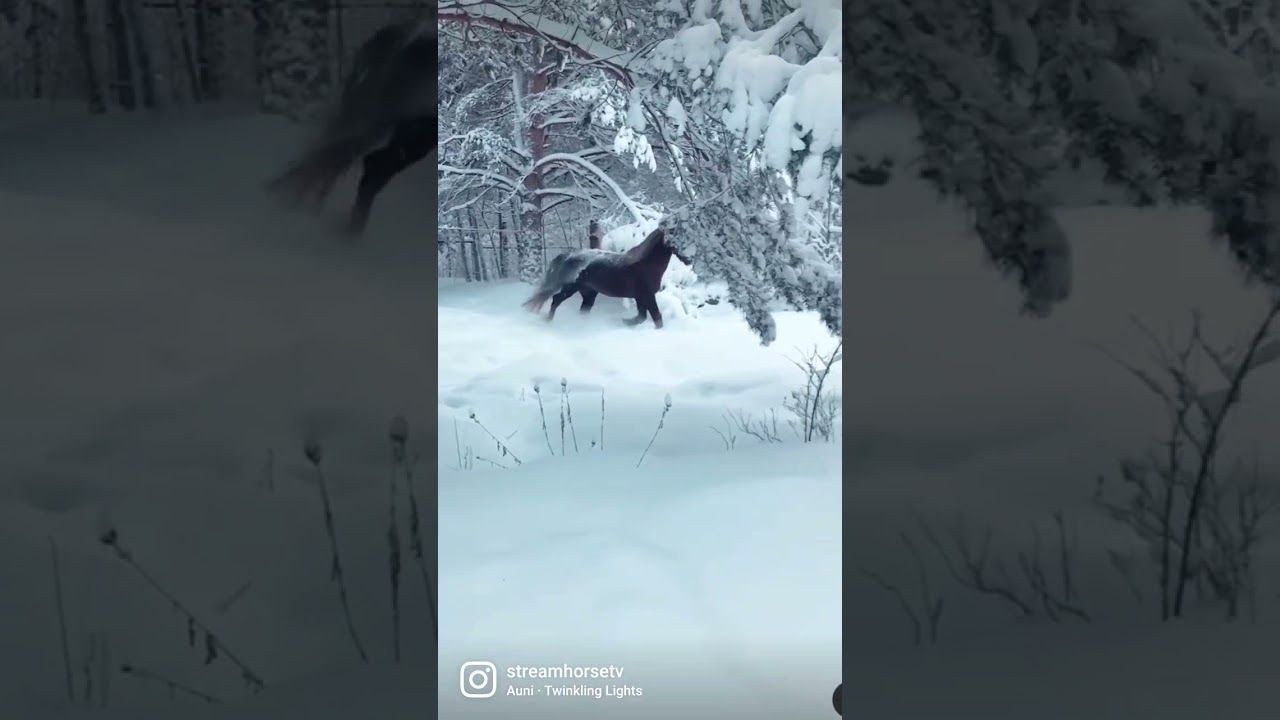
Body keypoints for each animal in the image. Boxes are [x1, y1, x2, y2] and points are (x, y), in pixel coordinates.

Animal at [522, 227, 692, 329]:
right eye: (678, 238)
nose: (689, 260)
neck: (646, 265)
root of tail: (569, 255)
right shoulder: (647, 296)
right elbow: (657, 318)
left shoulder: (640, 297)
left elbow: (642, 317)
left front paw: (626, 322)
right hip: (570, 288)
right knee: (556, 300)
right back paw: (548, 322)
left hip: (589, 293)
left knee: (583, 310)